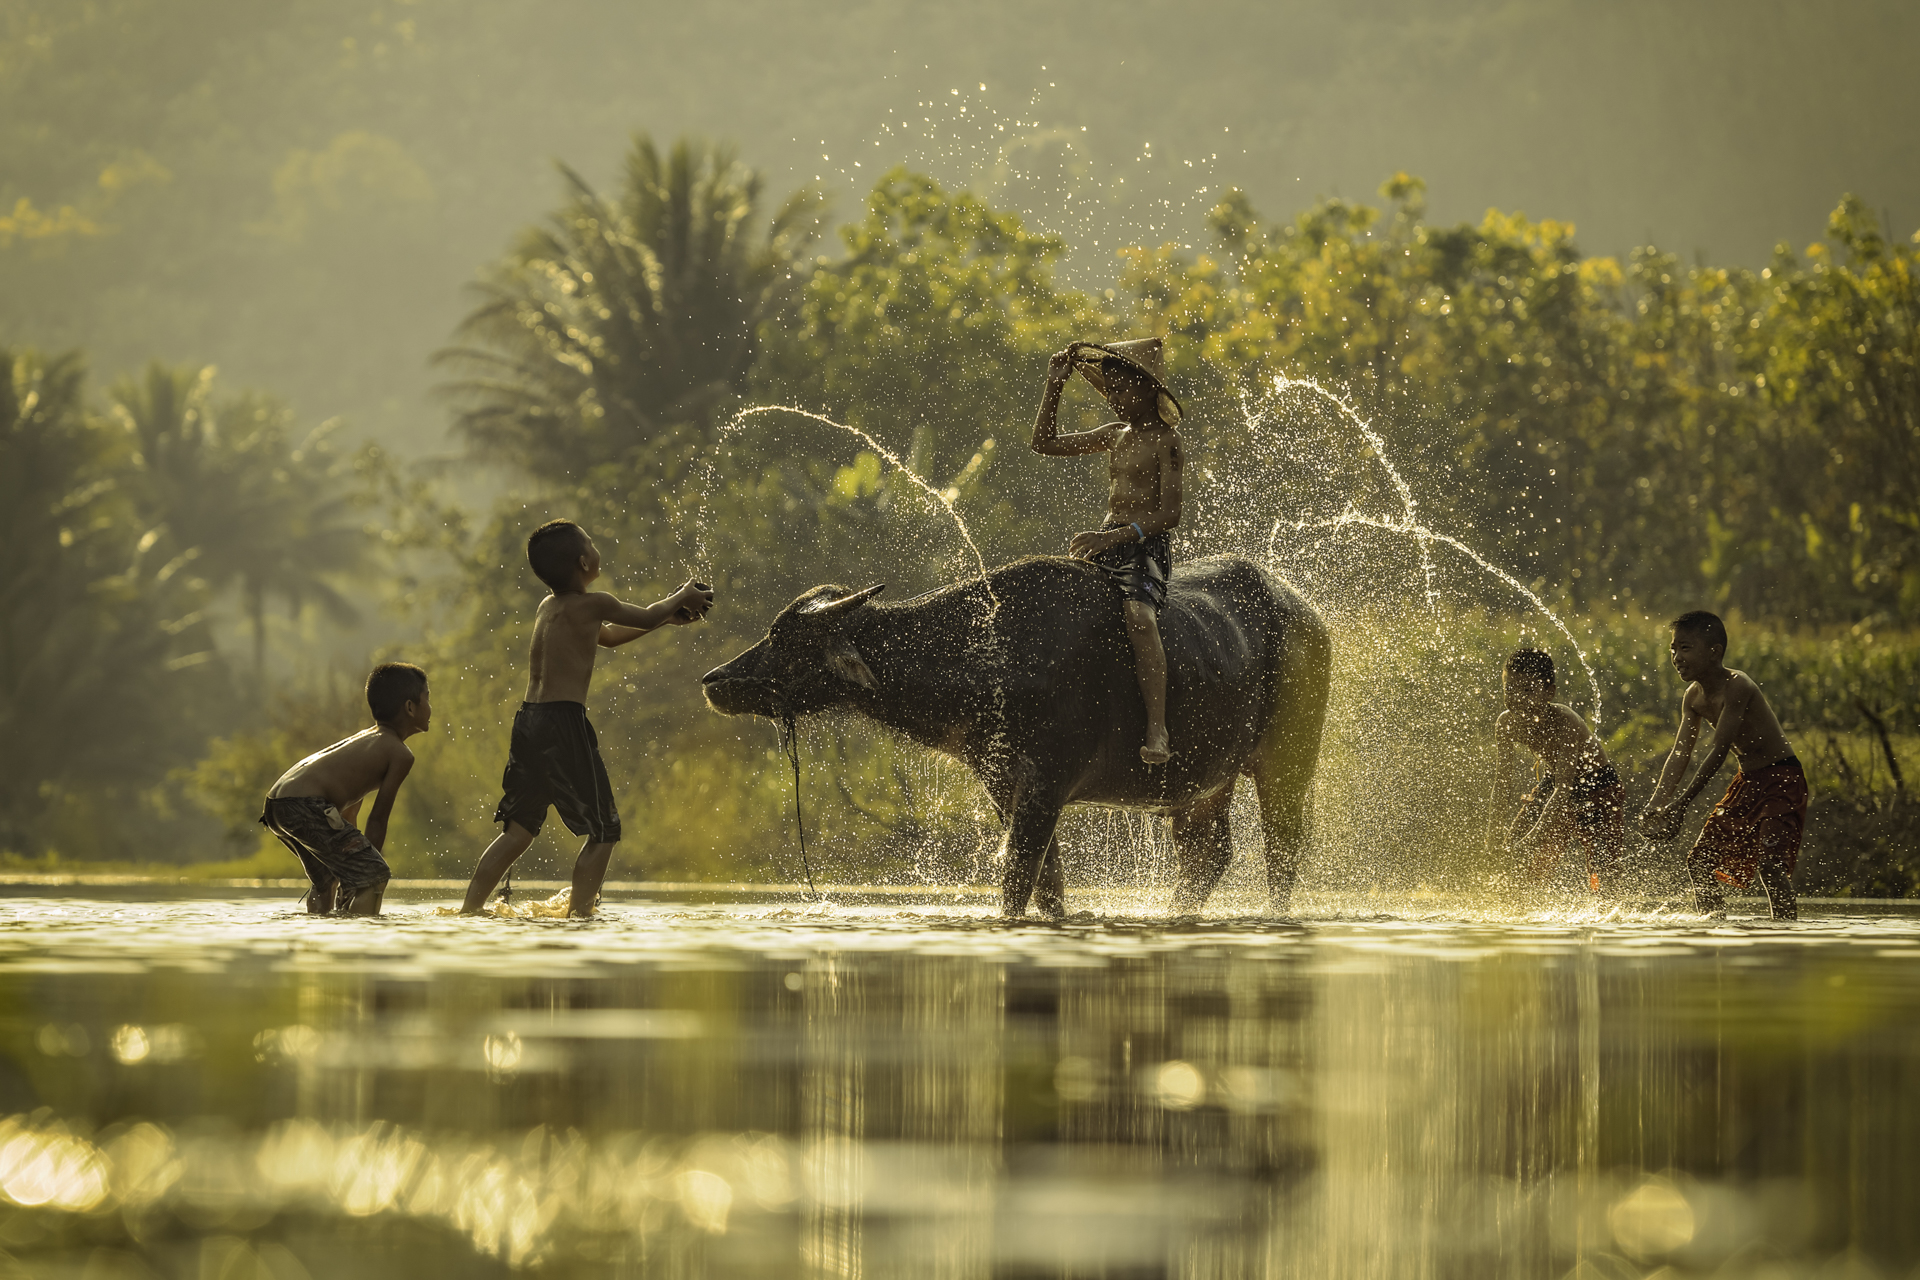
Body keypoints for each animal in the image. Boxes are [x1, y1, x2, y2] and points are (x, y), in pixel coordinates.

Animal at [706, 556, 1336, 917]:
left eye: (783, 638)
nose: (715, 681)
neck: (987, 655)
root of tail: (1308, 613)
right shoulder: (1006, 786)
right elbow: (1047, 883)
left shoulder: (1045, 785)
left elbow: (1016, 876)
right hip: (1203, 783)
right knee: (1208, 854)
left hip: (1289, 763)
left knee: (1283, 851)